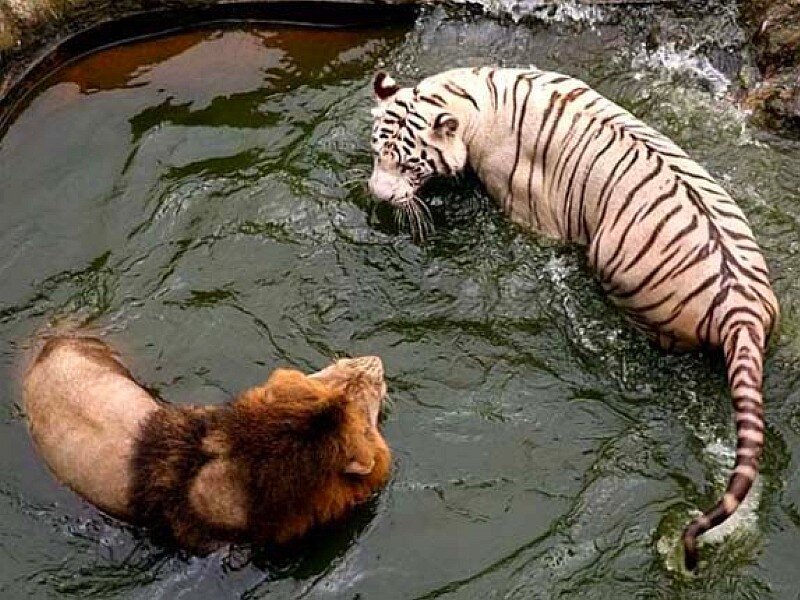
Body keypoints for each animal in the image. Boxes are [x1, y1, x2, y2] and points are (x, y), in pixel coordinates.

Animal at [367, 66, 780, 570]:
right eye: (377, 154)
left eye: (409, 165)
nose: (377, 194)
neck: (470, 98)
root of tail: (741, 308)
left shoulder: (528, 211)